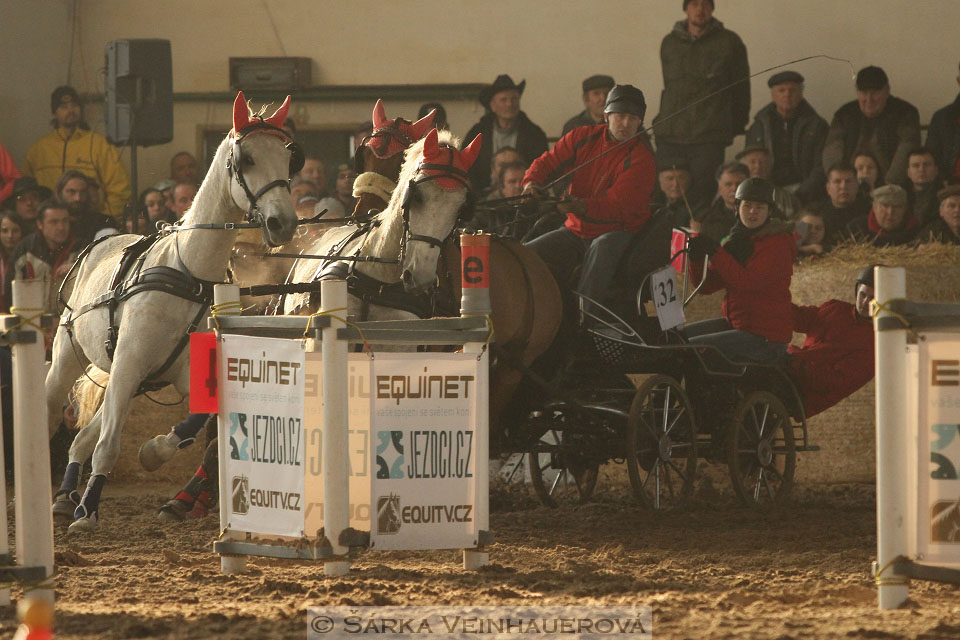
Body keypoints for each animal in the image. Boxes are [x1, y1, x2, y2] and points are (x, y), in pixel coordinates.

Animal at [47, 91, 300, 528]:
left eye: (287, 159)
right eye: (247, 158)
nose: (282, 222)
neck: (188, 273)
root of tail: (97, 243)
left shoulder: (175, 374)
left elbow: (195, 422)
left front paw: (153, 452)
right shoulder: (129, 363)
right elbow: (109, 446)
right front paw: (88, 512)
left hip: (129, 380)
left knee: (81, 438)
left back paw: (65, 495)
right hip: (68, 360)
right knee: (56, 419)